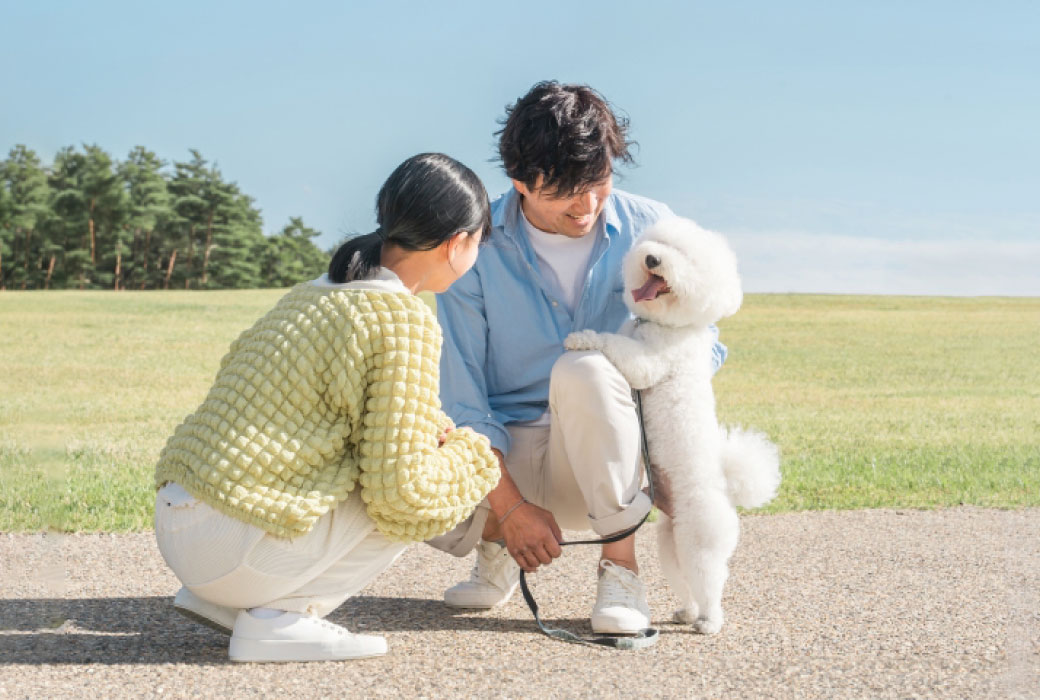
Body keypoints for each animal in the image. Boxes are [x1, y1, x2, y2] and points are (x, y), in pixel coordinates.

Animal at [569, 215, 782, 632]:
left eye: (684, 257)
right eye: (663, 244)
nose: (652, 258)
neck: (666, 325)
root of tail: (728, 493)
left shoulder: (648, 363)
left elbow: (615, 346)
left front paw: (582, 337)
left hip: (699, 542)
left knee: (711, 583)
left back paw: (710, 622)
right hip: (670, 542)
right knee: (684, 583)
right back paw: (686, 612)